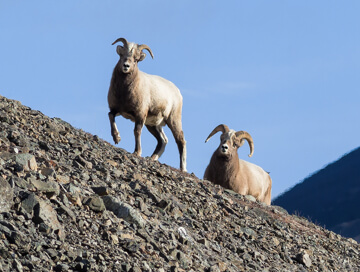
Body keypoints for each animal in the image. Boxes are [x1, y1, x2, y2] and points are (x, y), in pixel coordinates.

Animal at [107, 37, 187, 170]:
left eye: (136, 59)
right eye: (122, 55)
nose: (126, 66)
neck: (124, 91)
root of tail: (177, 91)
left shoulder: (140, 114)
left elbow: (137, 131)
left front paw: (137, 152)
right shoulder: (116, 110)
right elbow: (110, 116)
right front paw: (117, 138)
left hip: (173, 120)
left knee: (180, 140)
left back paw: (183, 168)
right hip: (153, 125)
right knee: (163, 141)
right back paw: (152, 158)